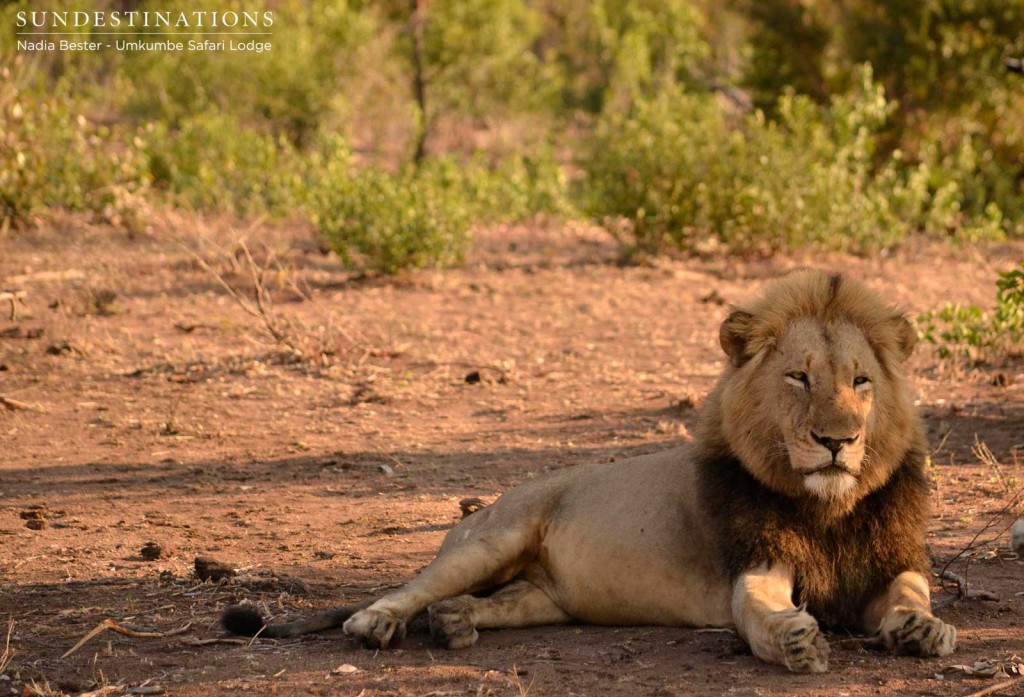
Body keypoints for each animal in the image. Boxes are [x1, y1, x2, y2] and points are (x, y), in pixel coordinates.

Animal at [224, 268, 950, 671]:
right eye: (800, 377)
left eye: (860, 381)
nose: (837, 440)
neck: (828, 506)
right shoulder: (755, 567)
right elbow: (765, 616)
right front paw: (797, 639)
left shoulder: (892, 560)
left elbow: (912, 594)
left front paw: (922, 629)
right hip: (491, 539)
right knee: (408, 587)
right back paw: (379, 623)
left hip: (541, 596)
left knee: (489, 602)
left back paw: (453, 623)